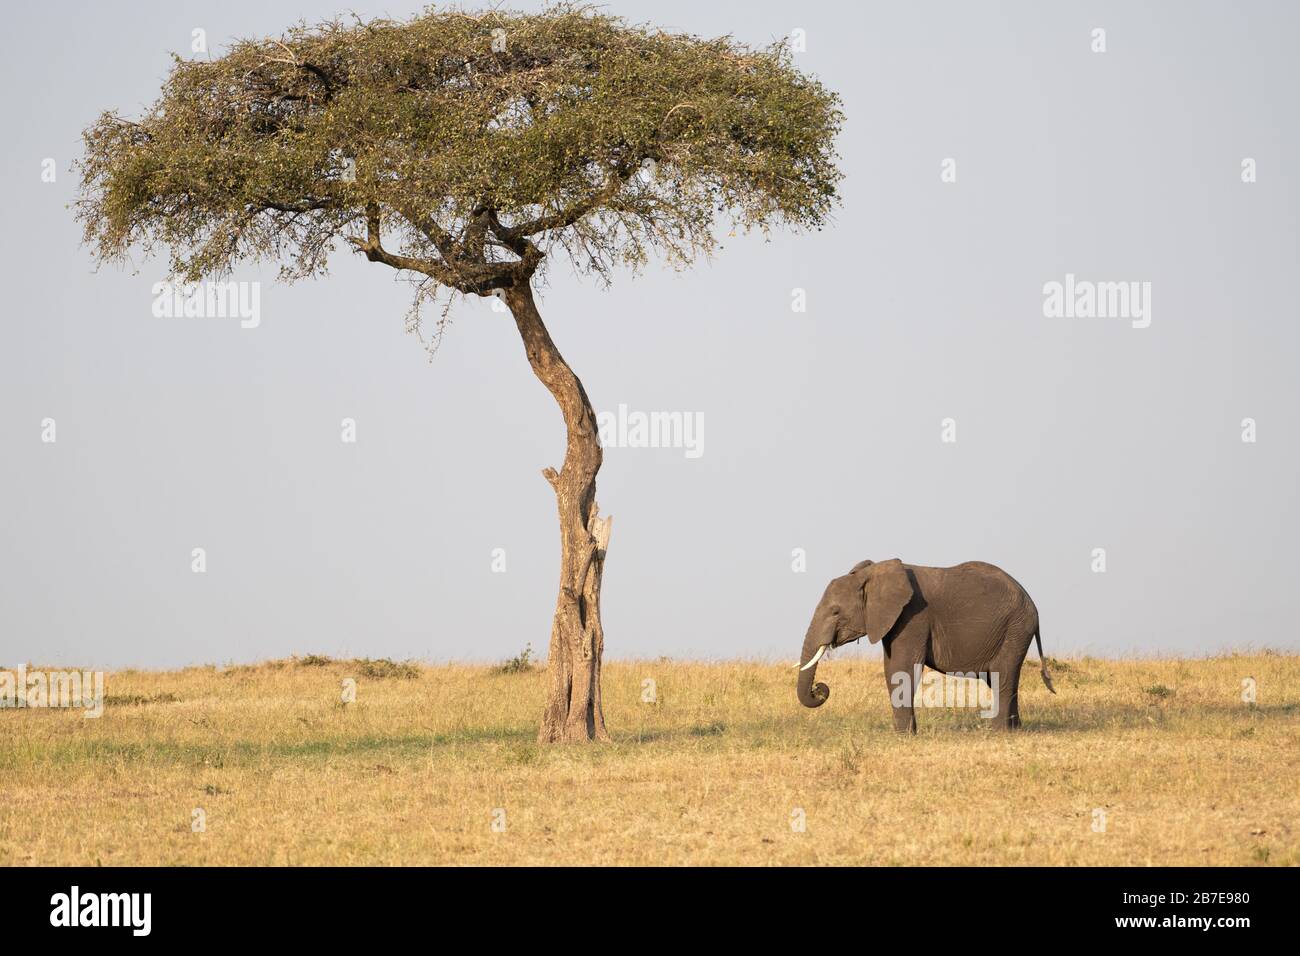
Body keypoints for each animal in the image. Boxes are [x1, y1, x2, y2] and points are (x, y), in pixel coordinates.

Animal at [796, 559, 1055, 731]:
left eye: (835, 611)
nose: (820, 688)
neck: (873, 574)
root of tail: (1032, 604)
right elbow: (892, 667)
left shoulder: (913, 616)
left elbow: (901, 668)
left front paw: (903, 736)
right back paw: (1015, 730)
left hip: (1015, 628)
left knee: (1003, 676)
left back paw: (999, 732)